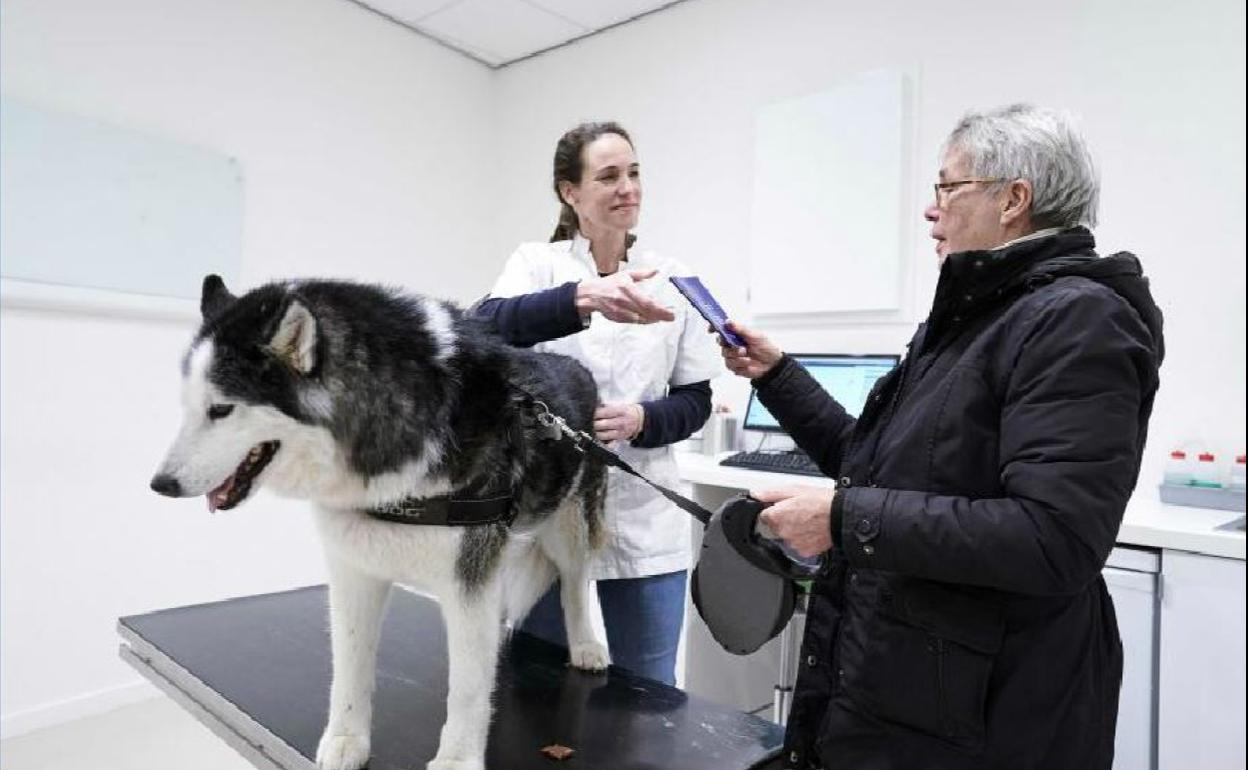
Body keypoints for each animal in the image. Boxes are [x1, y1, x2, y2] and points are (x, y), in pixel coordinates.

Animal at [151, 275, 609, 768]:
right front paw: (345, 740)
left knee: (575, 587)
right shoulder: (354, 572)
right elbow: (349, 667)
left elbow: (467, 688)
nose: (161, 484)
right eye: (188, 406)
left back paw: (586, 646)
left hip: (570, 532)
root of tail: (577, 367)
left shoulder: (467, 584)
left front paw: (457, 759)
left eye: (220, 410)